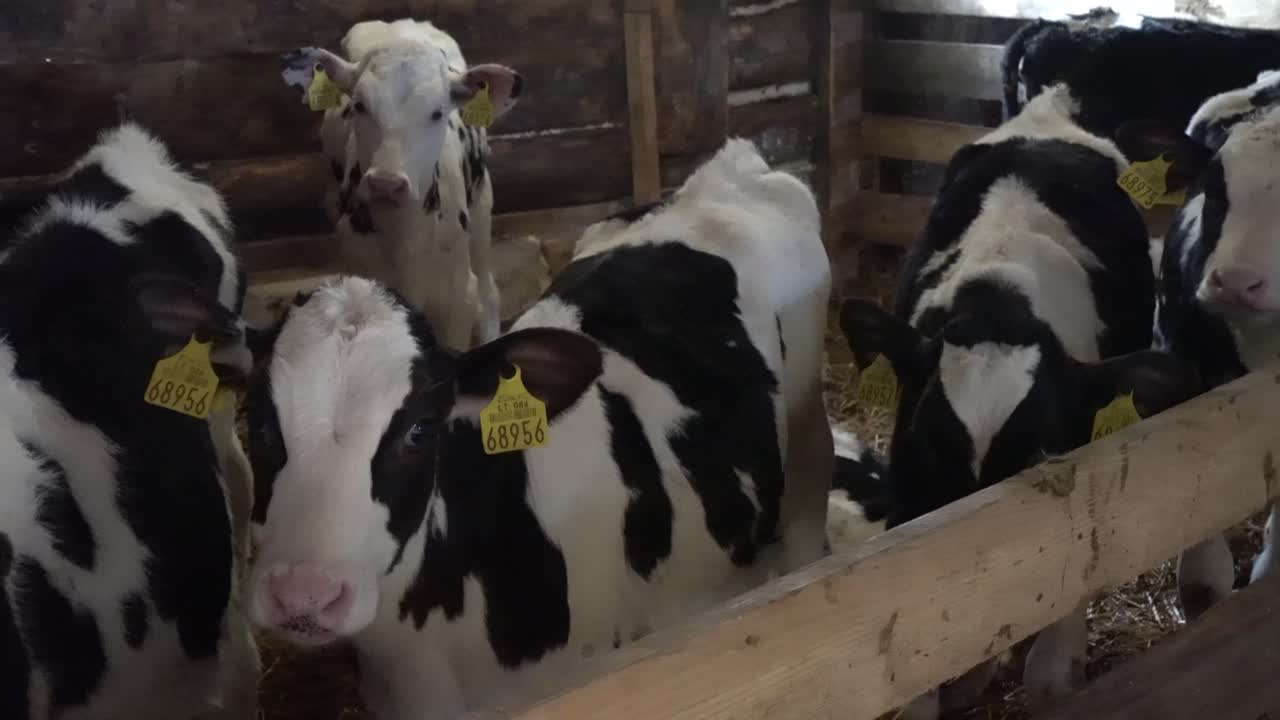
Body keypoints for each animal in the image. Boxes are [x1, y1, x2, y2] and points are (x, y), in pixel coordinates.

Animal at [281, 18, 523, 350]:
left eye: (437, 112)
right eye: (359, 105)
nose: (386, 184)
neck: (405, 236)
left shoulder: (458, 297)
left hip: (482, 204)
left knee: (489, 293)